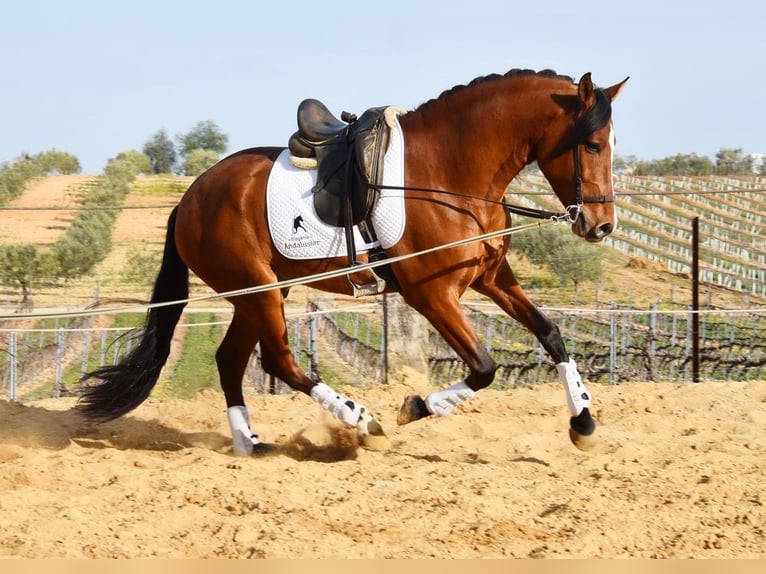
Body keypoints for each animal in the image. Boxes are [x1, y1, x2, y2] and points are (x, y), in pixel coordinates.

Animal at [78, 69, 628, 456]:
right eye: (592, 144)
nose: (601, 226)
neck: (449, 174)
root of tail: (191, 196)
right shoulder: (431, 293)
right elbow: (484, 368)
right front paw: (413, 407)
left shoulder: (491, 277)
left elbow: (551, 334)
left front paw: (583, 422)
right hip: (258, 290)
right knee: (281, 361)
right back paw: (360, 420)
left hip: (261, 293)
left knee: (231, 359)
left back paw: (248, 444)